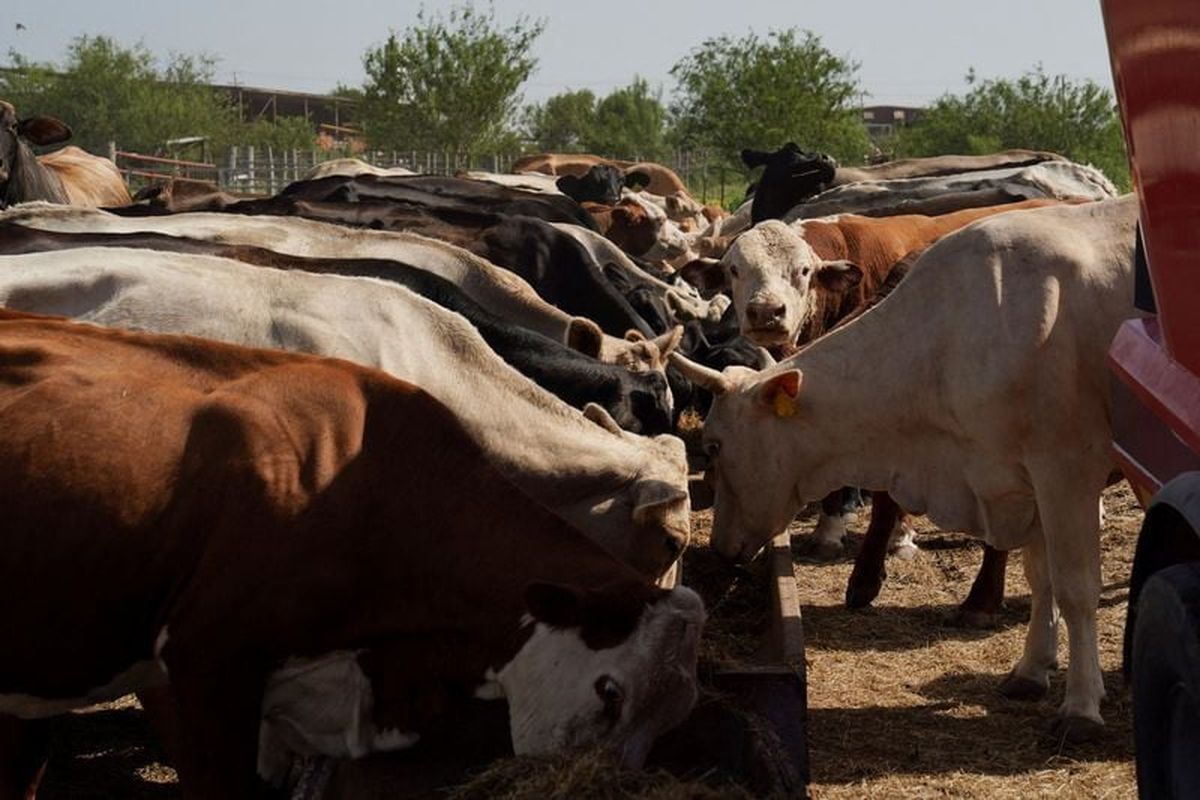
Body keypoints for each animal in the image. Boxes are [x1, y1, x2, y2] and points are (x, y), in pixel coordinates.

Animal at [671, 195, 1140, 739]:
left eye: (715, 446)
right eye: (733, 271)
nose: (719, 549)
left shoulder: (1065, 472)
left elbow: (1075, 588)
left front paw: (1081, 704)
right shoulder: (1019, 482)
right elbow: (1041, 577)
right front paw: (1031, 670)